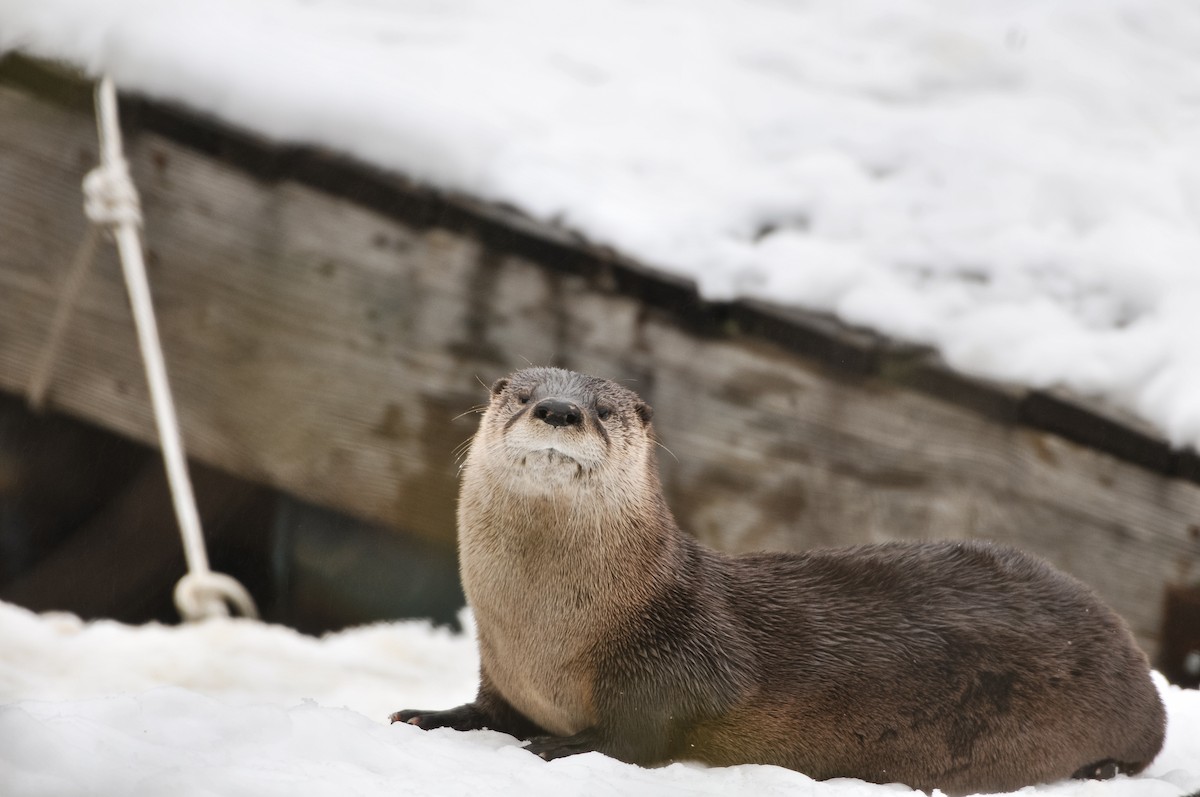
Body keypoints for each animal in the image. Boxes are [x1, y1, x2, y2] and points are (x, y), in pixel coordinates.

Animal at [392, 367, 1166, 795]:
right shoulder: (502, 666)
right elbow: (489, 708)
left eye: (603, 410)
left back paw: (1100, 769)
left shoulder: (682, 658)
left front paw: (563, 745)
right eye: (522, 395)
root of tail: (1130, 648)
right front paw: (432, 716)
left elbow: (643, 734)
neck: (547, 633)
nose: (560, 410)